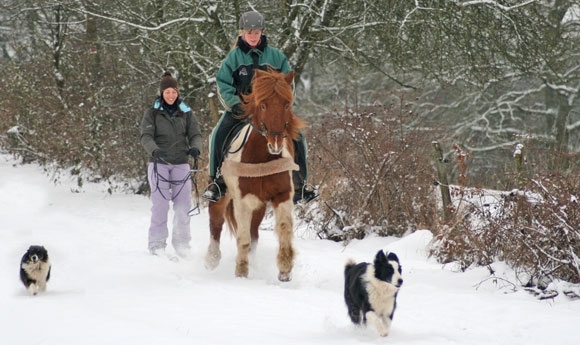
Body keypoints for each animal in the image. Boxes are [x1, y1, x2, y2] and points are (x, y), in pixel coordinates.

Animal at [204, 68, 306, 280]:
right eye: (263, 105)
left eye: (286, 104)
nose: (276, 143)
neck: (262, 158)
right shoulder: (242, 200)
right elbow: (242, 237)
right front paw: (241, 272)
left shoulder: (282, 195)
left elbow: (284, 229)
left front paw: (285, 269)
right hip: (222, 196)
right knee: (216, 223)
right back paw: (212, 259)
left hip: (259, 205)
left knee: (254, 233)